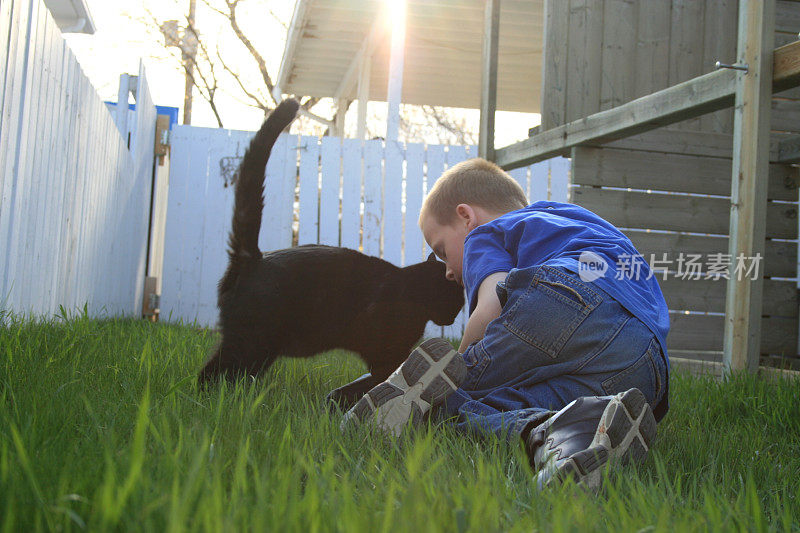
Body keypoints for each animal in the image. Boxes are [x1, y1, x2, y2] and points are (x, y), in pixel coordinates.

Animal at [196, 98, 466, 404]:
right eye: (458, 300)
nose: (453, 318)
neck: (415, 291)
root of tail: (252, 257)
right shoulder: (386, 351)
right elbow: (382, 375)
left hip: (259, 350)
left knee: (237, 376)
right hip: (251, 342)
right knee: (210, 373)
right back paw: (209, 401)